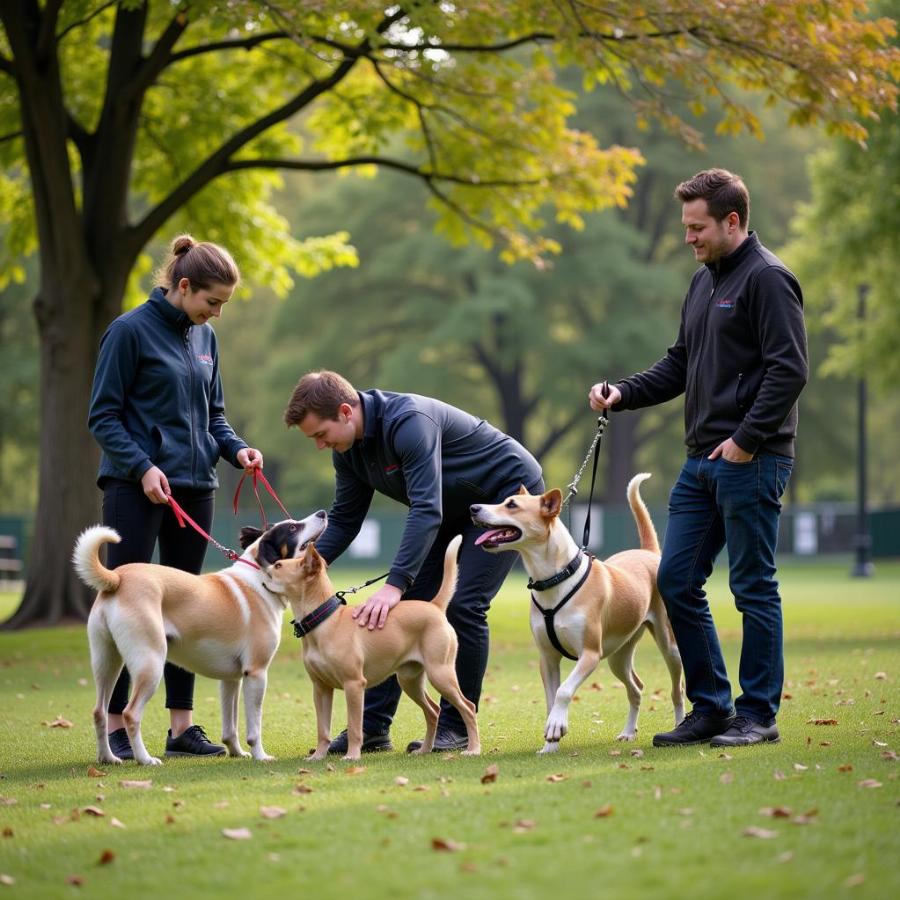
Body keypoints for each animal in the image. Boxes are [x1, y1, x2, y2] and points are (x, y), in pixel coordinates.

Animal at [73, 512, 326, 768]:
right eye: (292, 528)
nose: (323, 513)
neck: (259, 581)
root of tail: (117, 577)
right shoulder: (256, 673)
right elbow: (254, 728)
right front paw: (260, 755)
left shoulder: (231, 680)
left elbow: (230, 727)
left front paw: (237, 752)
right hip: (150, 664)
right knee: (130, 714)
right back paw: (145, 759)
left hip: (108, 663)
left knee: (100, 712)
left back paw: (108, 757)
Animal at [264, 536, 482, 760]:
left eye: (278, 565)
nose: (260, 564)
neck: (324, 619)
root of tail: (434, 606)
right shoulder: (321, 688)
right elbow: (322, 729)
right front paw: (318, 756)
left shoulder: (354, 685)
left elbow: (354, 727)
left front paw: (352, 755)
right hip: (409, 680)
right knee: (433, 711)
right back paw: (424, 749)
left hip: (440, 674)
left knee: (468, 707)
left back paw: (473, 749)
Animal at [472, 474, 684, 756]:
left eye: (512, 505)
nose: (473, 508)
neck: (556, 578)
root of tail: (648, 553)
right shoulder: (547, 658)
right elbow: (551, 699)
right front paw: (550, 743)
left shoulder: (590, 654)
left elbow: (563, 691)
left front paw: (556, 726)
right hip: (618, 655)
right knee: (636, 689)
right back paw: (629, 732)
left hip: (668, 644)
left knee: (677, 689)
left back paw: (680, 725)